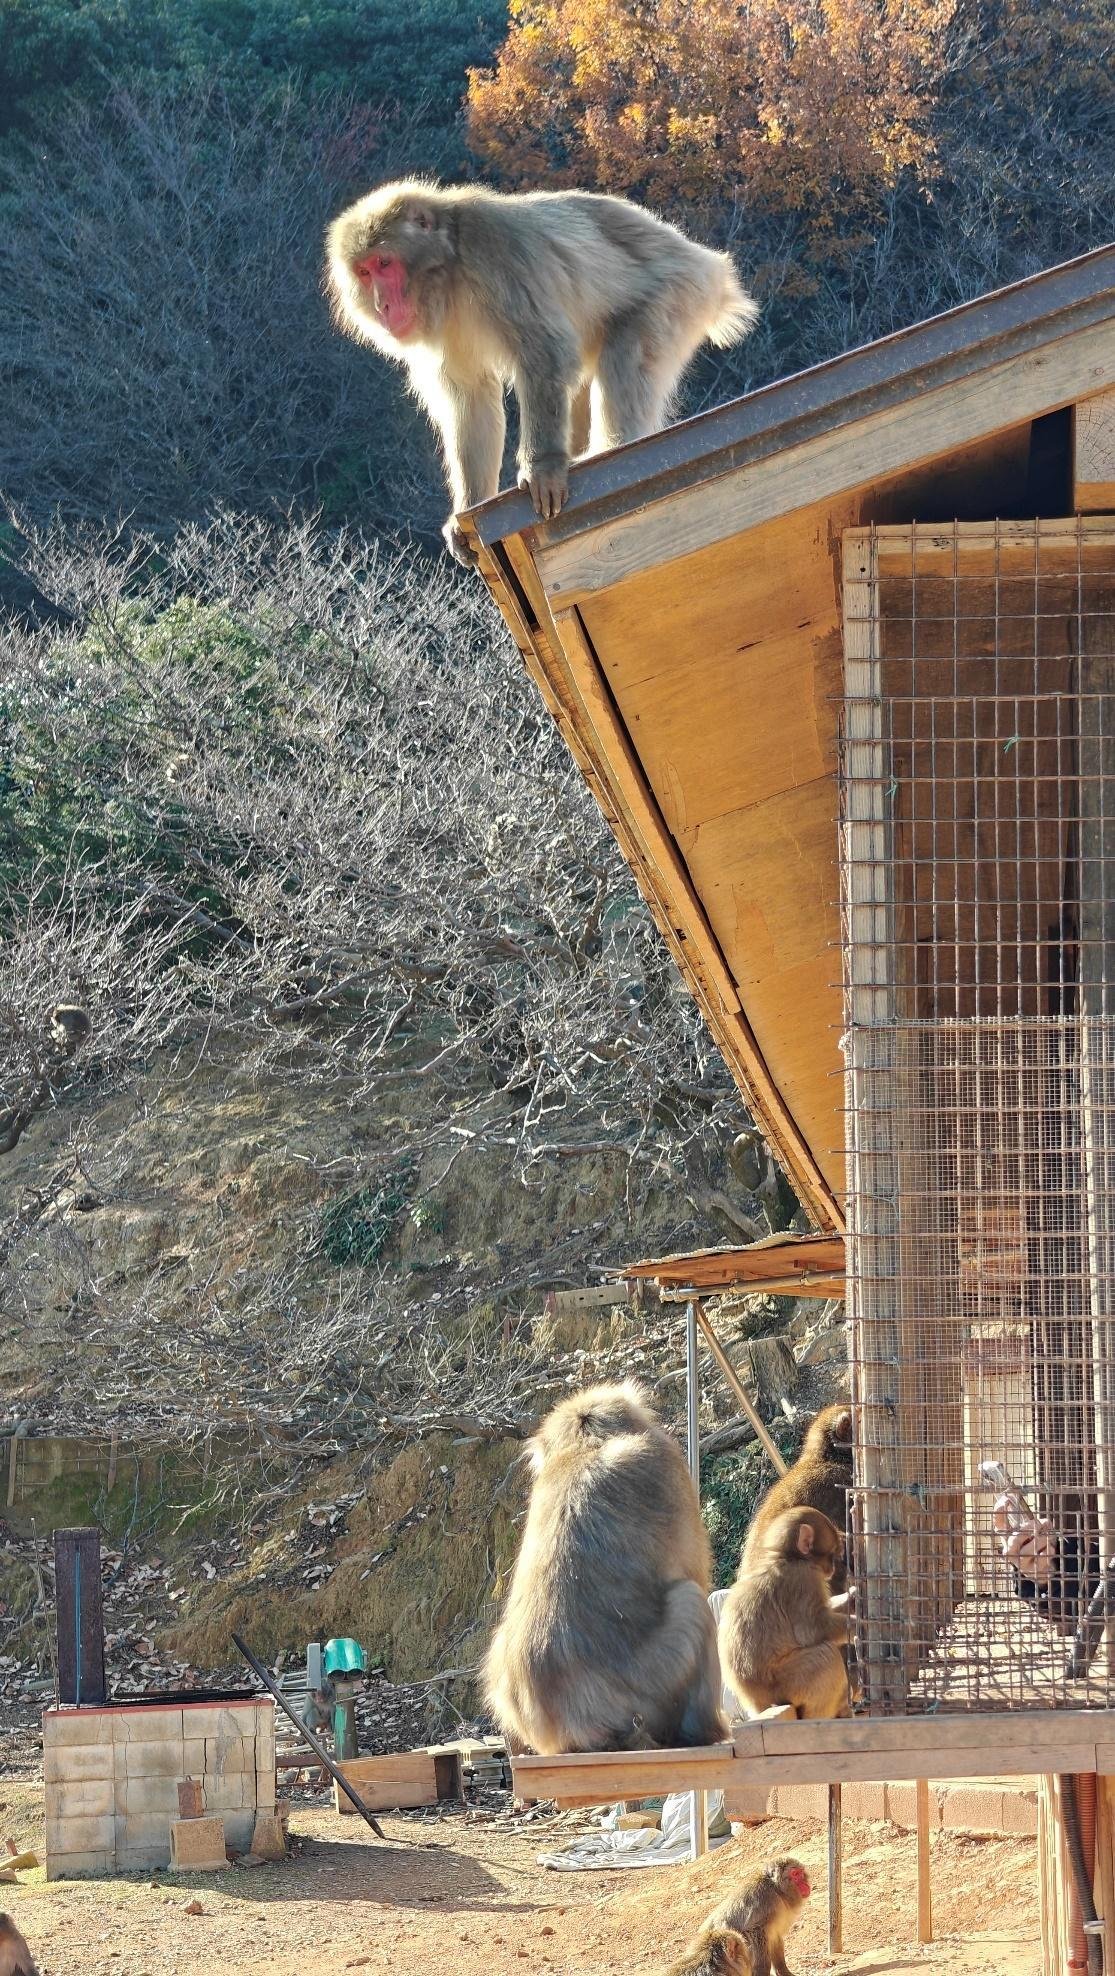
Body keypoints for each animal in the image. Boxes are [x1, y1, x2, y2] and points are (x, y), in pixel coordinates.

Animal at [325, 181, 757, 564]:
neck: (448, 270)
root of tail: (710, 265)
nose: (381, 306)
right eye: (364, 272)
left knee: (626, 356)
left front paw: (543, 466)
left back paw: (609, 449)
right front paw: (467, 509)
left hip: (678, 296)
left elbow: (543, 352)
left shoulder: (494, 249)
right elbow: (470, 398)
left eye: (385, 264)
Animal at [484, 1381, 727, 1754]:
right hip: (656, 1686)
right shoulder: (664, 1462)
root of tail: (577, 1726)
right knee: (691, 1600)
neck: (587, 1446)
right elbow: (695, 1570)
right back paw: (705, 1731)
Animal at [720, 1507, 853, 1720]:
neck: (787, 1557)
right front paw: (859, 1623)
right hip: (786, 1685)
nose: (832, 1569)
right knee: (827, 1657)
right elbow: (813, 1630)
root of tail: (756, 1704)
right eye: (832, 1553)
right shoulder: (803, 1577)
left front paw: (853, 1599)